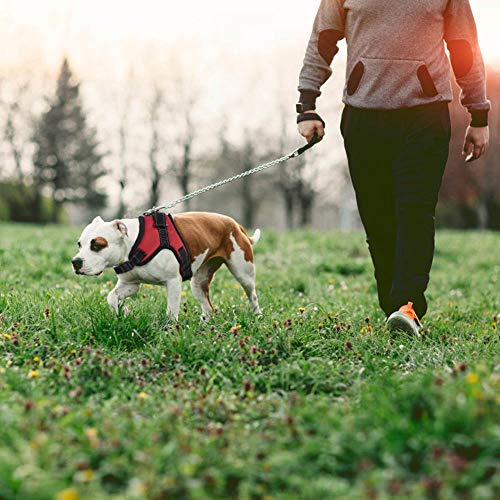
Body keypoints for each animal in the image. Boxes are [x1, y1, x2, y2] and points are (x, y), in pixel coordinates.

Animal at [74, 212, 264, 320]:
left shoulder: (172, 282)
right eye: (79, 244)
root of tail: (235, 224)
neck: (133, 244)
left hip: (243, 273)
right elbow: (111, 297)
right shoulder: (130, 284)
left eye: (97, 245)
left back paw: (257, 316)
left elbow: (171, 312)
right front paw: (124, 313)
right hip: (198, 283)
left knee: (252, 295)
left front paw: (170, 331)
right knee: (209, 308)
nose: (75, 262)